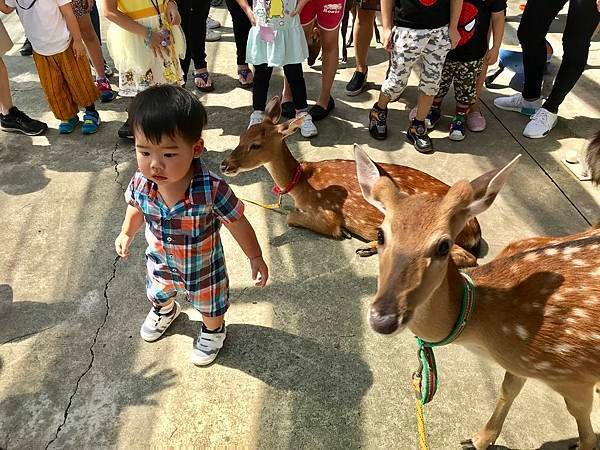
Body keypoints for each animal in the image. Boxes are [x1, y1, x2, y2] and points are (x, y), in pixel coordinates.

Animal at [220, 96, 482, 268]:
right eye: (241, 136)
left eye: (256, 145)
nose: (225, 164)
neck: (301, 184)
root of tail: (474, 229)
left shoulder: (326, 213)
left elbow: (291, 217)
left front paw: (344, 232)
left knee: (466, 257)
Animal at [354, 147, 600, 450]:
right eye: (380, 234)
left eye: (444, 245)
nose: (384, 319)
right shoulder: (519, 363)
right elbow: (508, 389)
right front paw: (479, 440)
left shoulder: (573, 376)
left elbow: (586, 433)